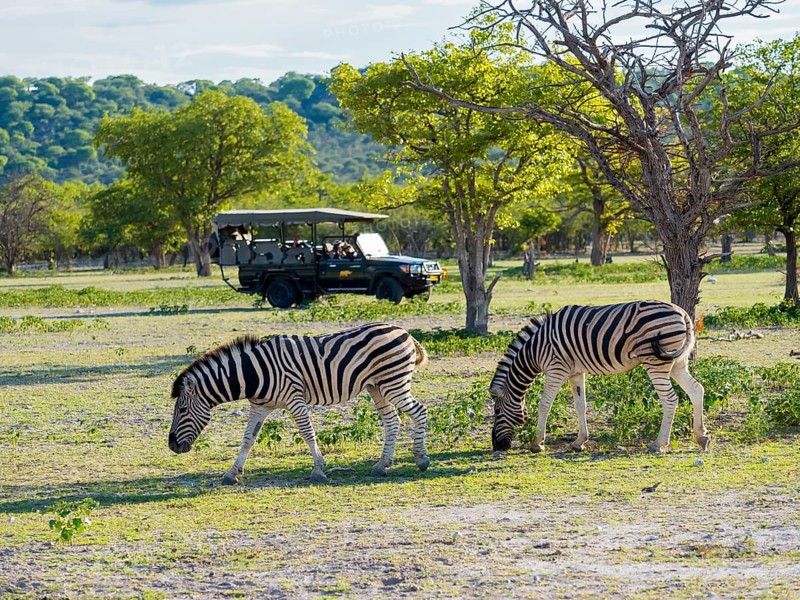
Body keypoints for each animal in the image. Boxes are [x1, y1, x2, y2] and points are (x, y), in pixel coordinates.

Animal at [168, 323, 431, 484]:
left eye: (182, 410)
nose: (172, 446)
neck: (253, 373)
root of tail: (404, 331)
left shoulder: (294, 398)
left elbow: (307, 432)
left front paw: (318, 469)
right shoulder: (260, 406)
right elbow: (248, 439)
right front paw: (232, 473)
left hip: (393, 382)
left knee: (419, 412)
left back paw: (421, 459)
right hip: (376, 386)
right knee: (392, 421)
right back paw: (381, 465)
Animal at [490, 301, 710, 454]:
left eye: (497, 411)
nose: (496, 446)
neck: (535, 350)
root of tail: (683, 314)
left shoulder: (556, 368)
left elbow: (545, 404)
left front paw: (537, 443)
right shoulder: (576, 372)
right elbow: (580, 406)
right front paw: (579, 442)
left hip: (656, 361)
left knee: (670, 400)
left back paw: (659, 444)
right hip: (677, 362)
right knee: (696, 390)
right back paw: (701, 437)